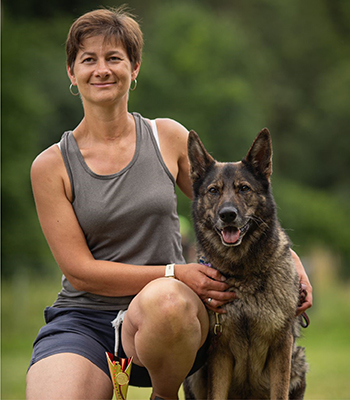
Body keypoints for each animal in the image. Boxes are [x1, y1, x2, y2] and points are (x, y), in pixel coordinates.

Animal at [185, 130, 308, 398]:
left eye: (243, 188)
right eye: (213, 191)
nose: (228, 214)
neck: (242, 274)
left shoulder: (281, 348)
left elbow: (279, 392)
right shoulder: (220, 352)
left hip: (298, 361)